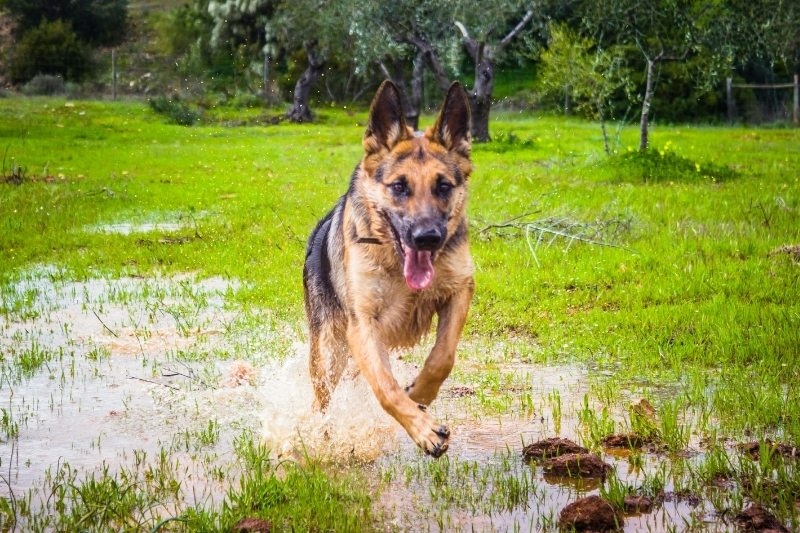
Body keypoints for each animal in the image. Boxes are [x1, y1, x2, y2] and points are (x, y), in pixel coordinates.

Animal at [304, 81, 472, 456]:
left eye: (443, 186)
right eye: (399, 186)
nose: (427, 238)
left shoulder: (460, 291)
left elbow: (443, 356)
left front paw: (421, 393)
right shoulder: (363, 325)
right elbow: (386, 388)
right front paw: (424, 430)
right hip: (329, 352)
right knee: (322, 400)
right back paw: (320, 436)